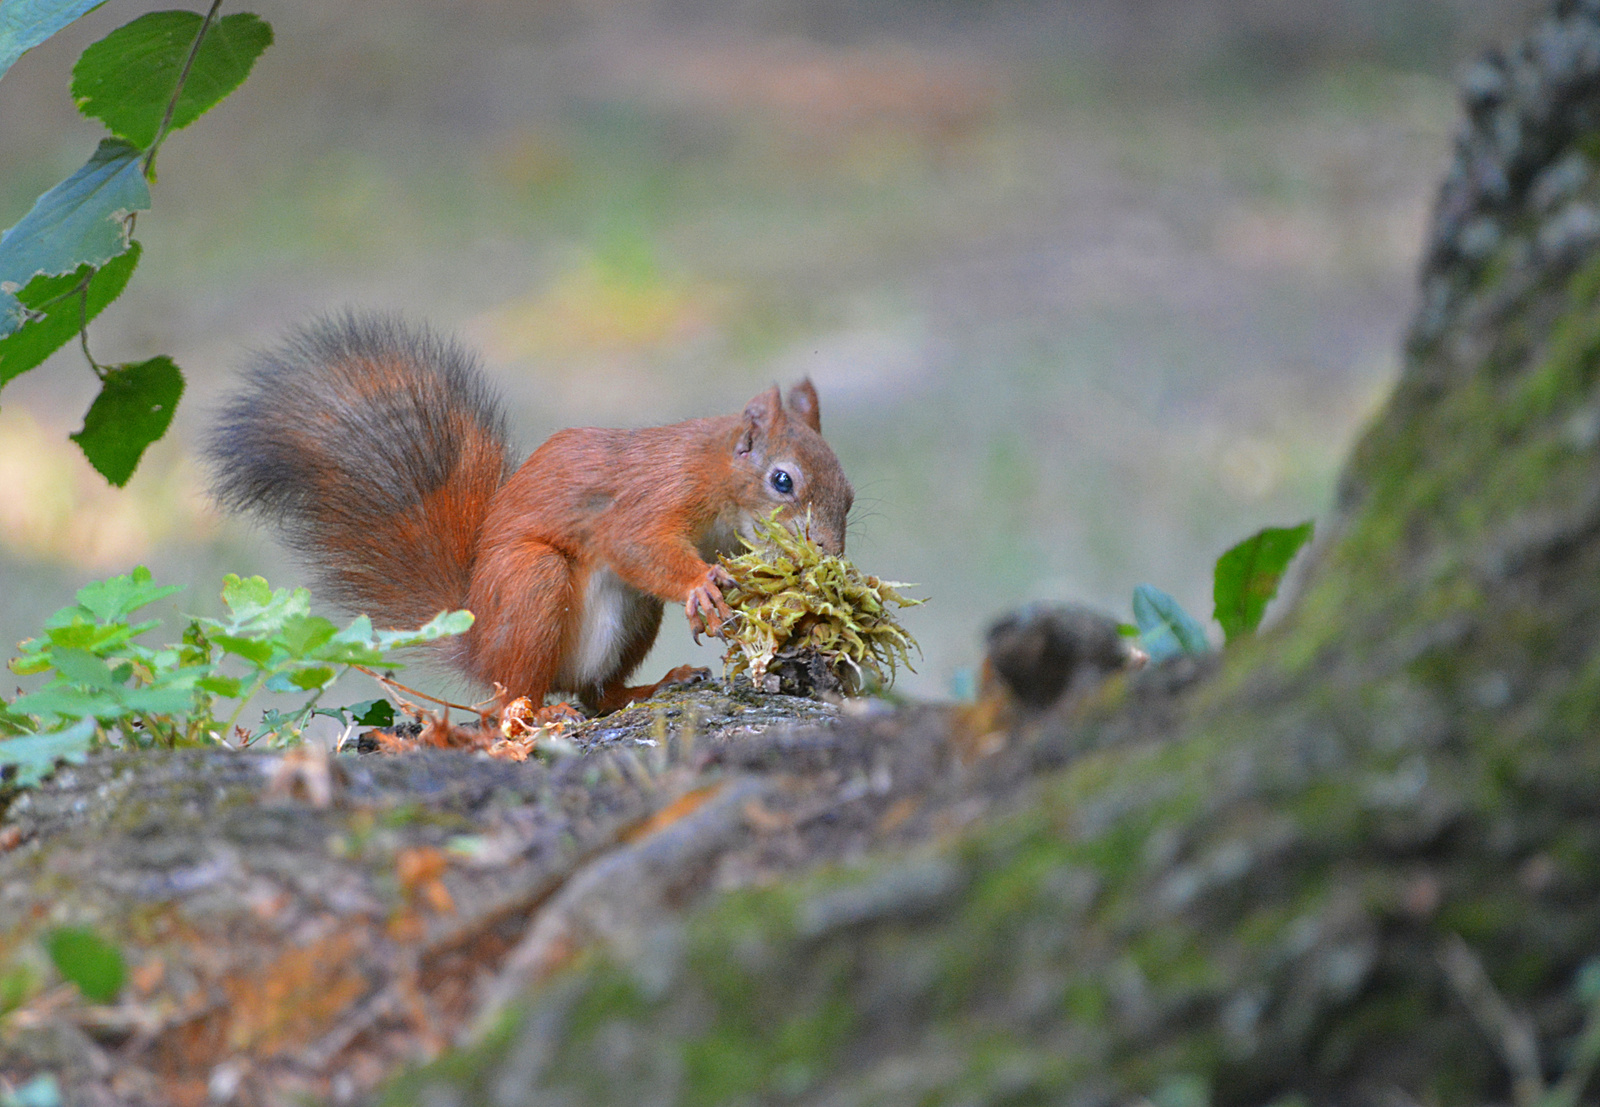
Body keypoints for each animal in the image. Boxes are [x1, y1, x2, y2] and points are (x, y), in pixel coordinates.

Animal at [208, 311, 857, 713]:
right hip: (530, 584)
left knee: (594, 695)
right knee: (509, 702)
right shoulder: (654, 496)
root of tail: (478, 646)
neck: (716, 477)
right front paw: (703, 587)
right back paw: (533, 716)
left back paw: (646, 689)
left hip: (632, 618)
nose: (829, 551)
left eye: (849, 492)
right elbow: (636, 543)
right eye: (782, 481)